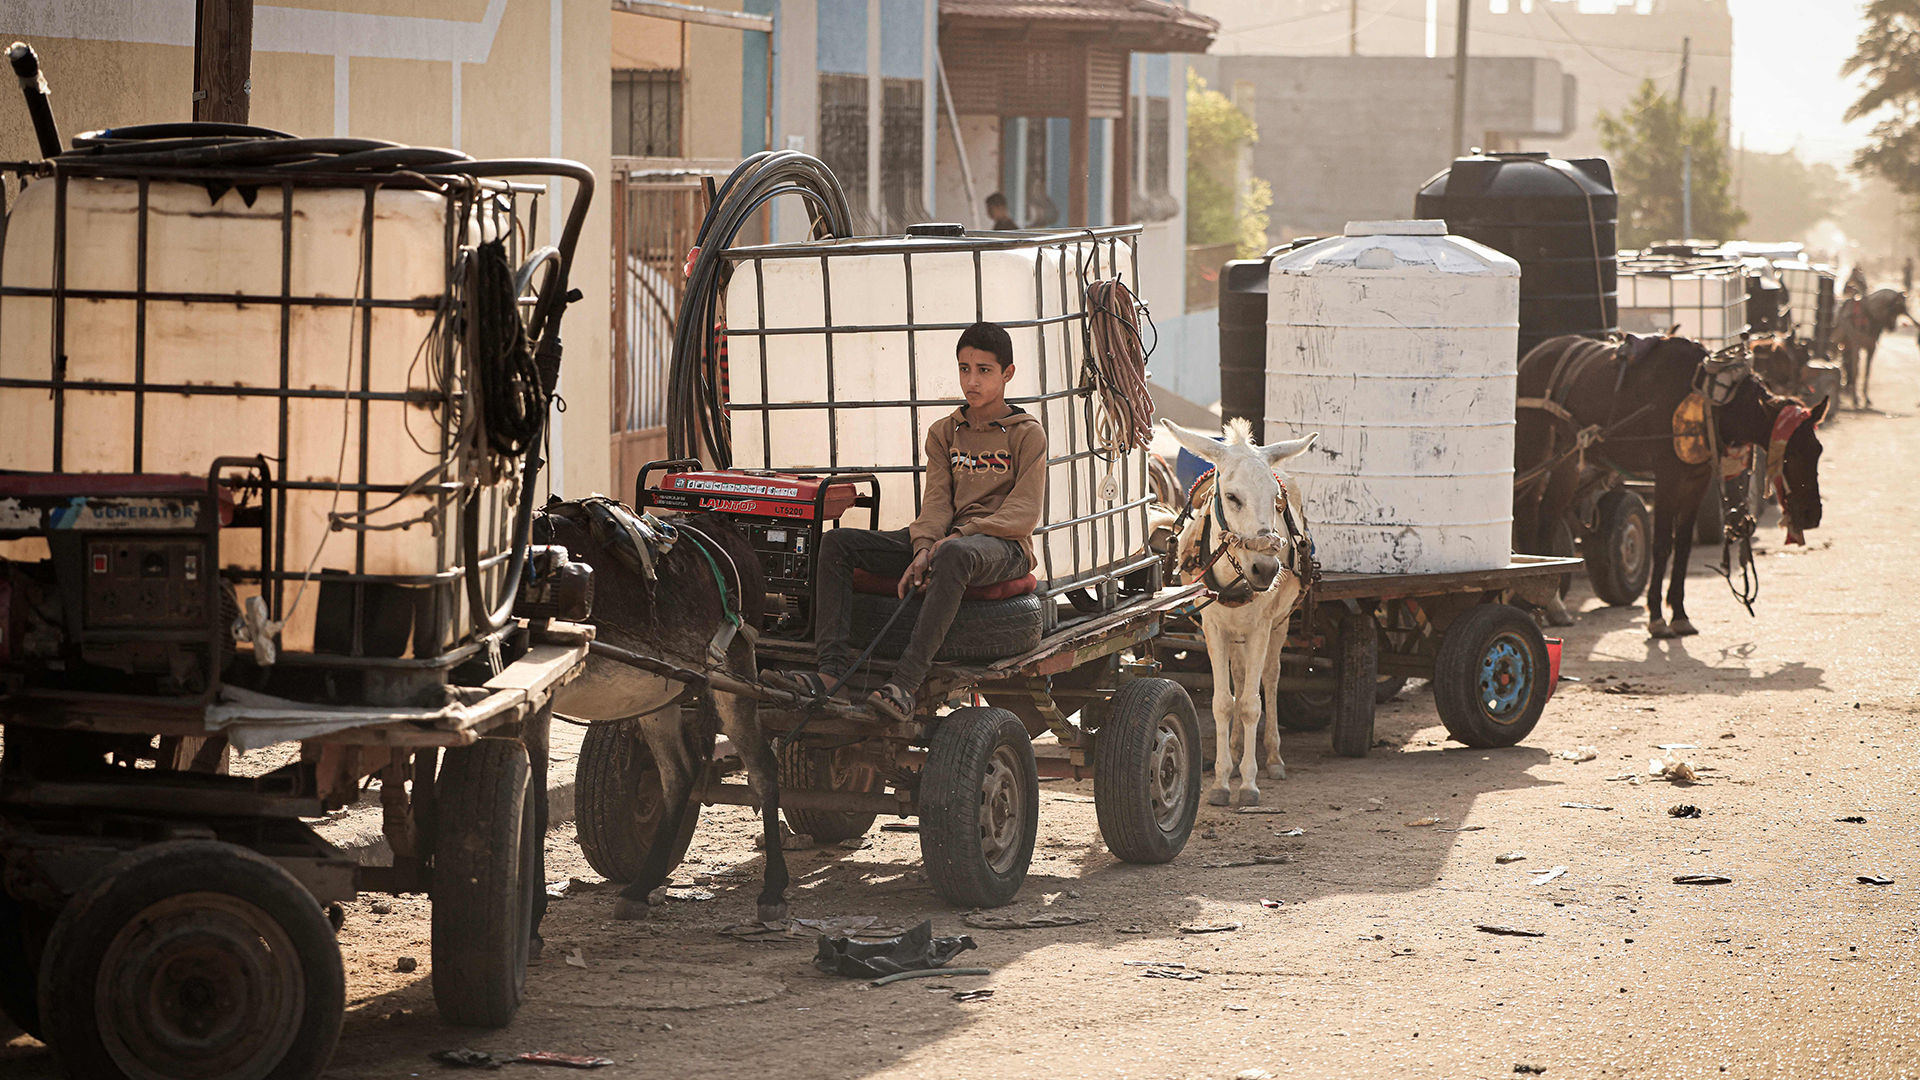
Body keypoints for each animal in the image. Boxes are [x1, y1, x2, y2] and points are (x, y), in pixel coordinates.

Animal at [1512, 336, 1827, 634]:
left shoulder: (1698, 480)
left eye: (1817, 450)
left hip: (1568, 463)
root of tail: (1530, 358)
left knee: (1546, 518)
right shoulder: (1667, 476)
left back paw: (1553, 606)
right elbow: (1662, 544)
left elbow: (1683, 546)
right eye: (1790, 455)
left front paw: (1680, 615)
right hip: (1535, 452)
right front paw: (1656, 617)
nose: (1811, 514)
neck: (1713, 401)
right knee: (1526, 515)